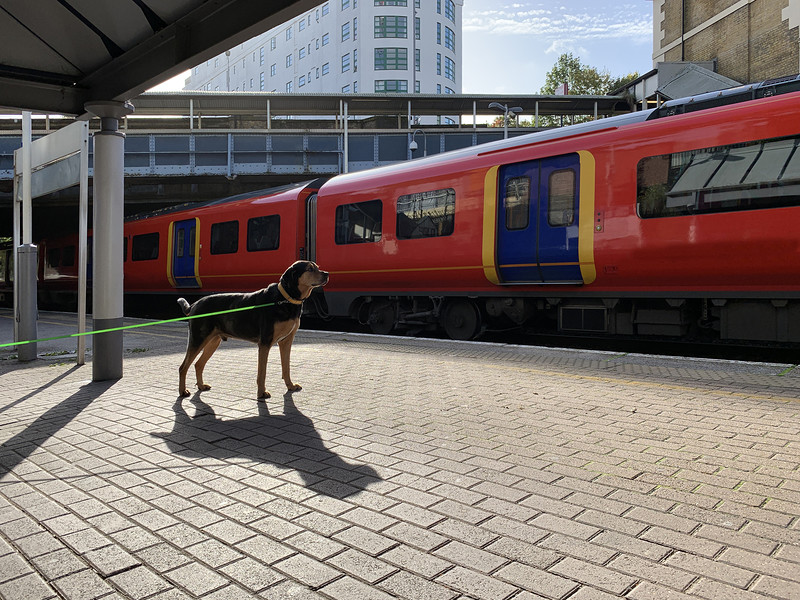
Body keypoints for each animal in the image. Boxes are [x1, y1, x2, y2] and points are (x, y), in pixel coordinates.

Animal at [177, 262, 328, 398]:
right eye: (310, 269)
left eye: (317, 267)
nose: (327, 274)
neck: (286, 299)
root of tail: (195, 304)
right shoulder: (265, 343)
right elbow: (262, 372)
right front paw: (261, 393)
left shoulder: (286, 342)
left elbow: (286, 367)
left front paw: (290, 386)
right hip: (198, 339)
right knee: (183, 367)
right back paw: (182, 391)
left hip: (213, 341)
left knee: (198, 364)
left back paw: (201, 386)